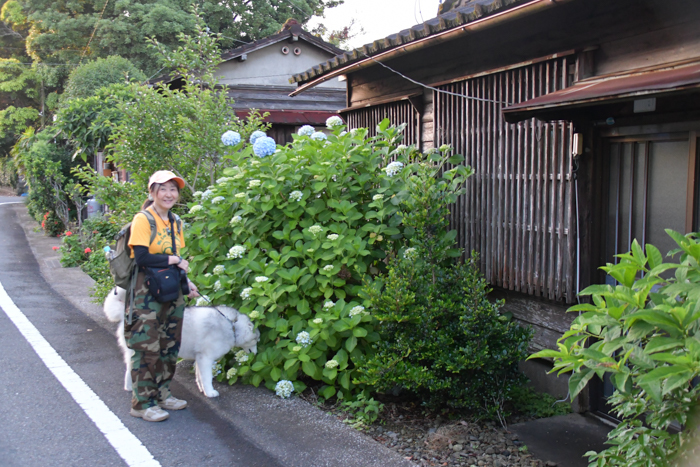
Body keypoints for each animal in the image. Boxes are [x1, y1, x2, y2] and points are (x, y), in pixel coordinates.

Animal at [102, 288, 258, 398]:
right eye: (256, 340)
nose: (256, 354)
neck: (232, 325)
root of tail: (128, 315)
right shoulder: (206, 358)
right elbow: (207, 378)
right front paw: (210, 392)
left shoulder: (200, 358)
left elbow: (199, 377)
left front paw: (202, 390)